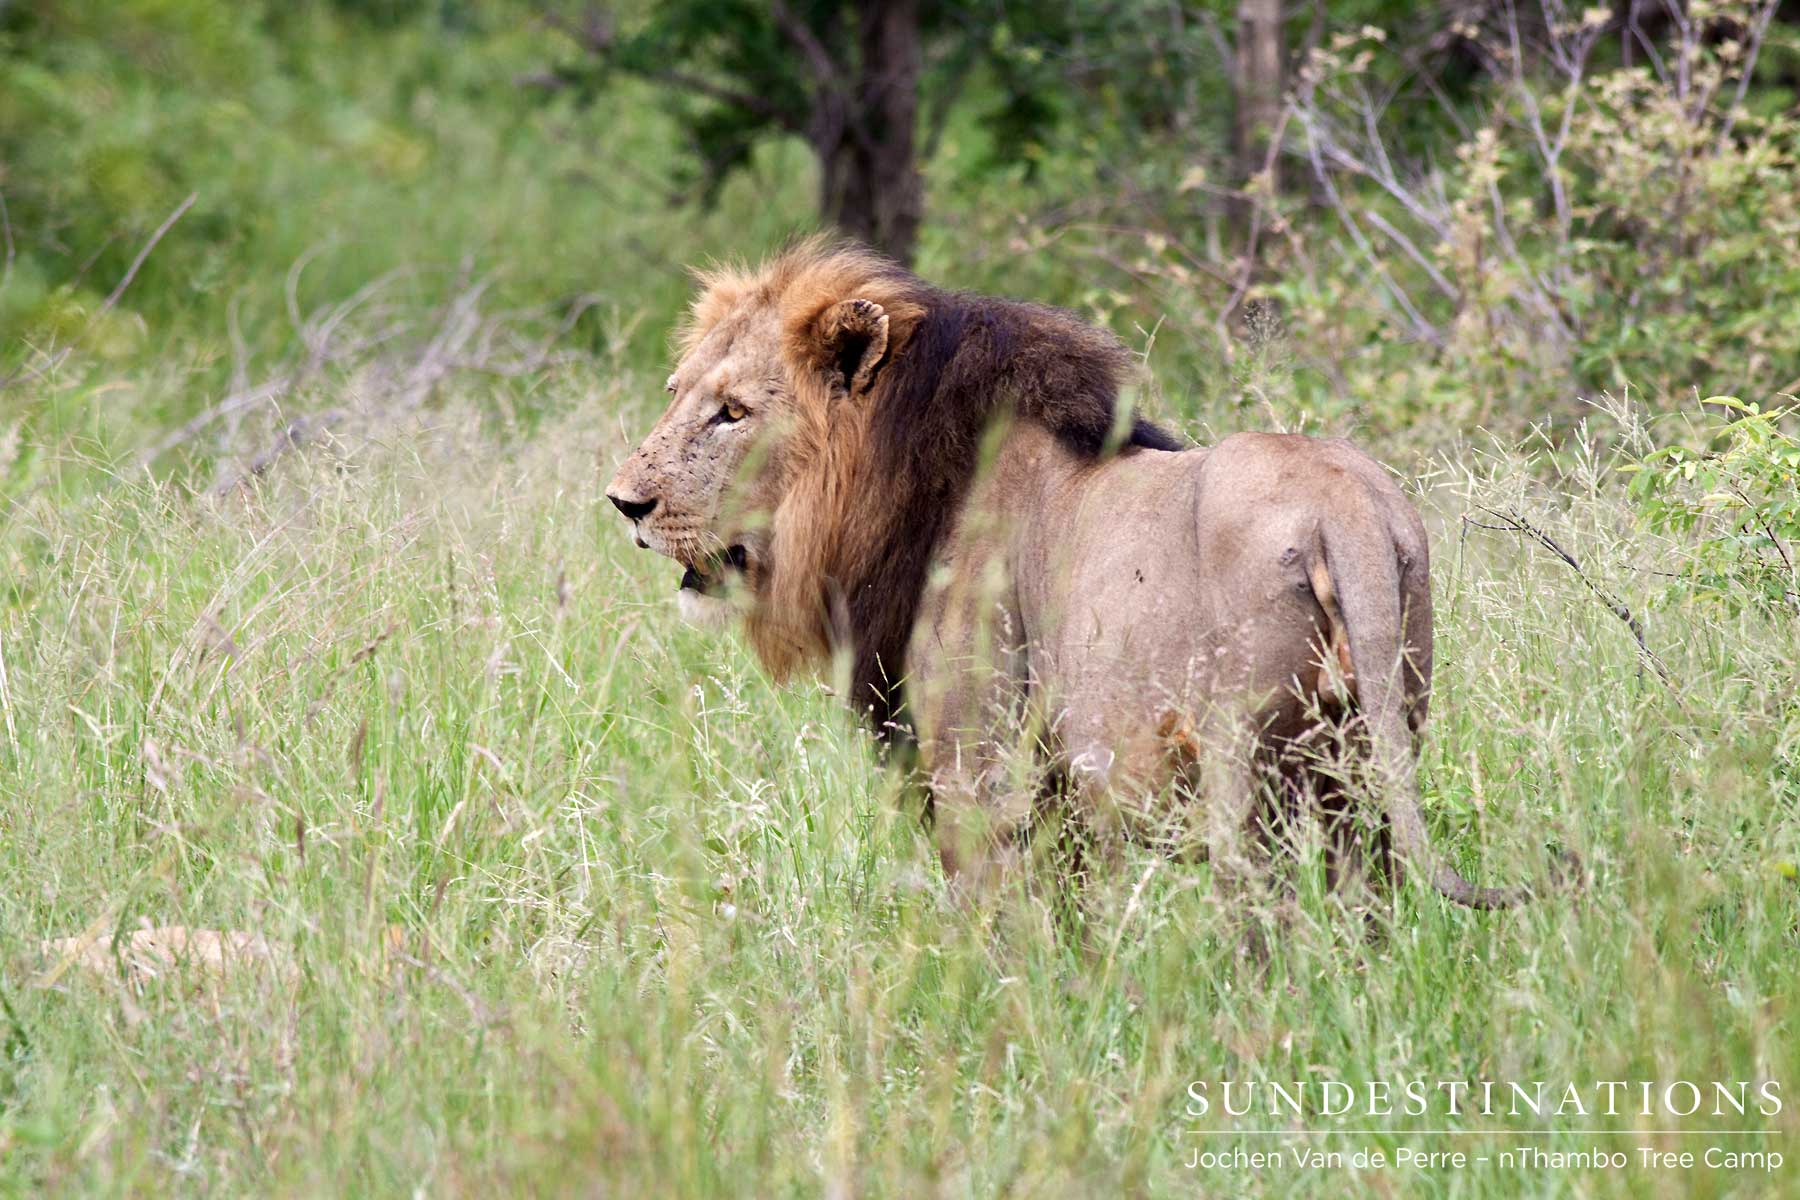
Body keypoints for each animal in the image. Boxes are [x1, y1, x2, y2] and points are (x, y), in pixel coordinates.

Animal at [606, 238, 1551, 909]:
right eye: (677, 391)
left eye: (732, 413)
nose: (623, 503)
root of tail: (1345, 508)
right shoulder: (1059, 794)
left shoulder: (979, 770)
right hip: (1376, 747)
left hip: (1246, 765)